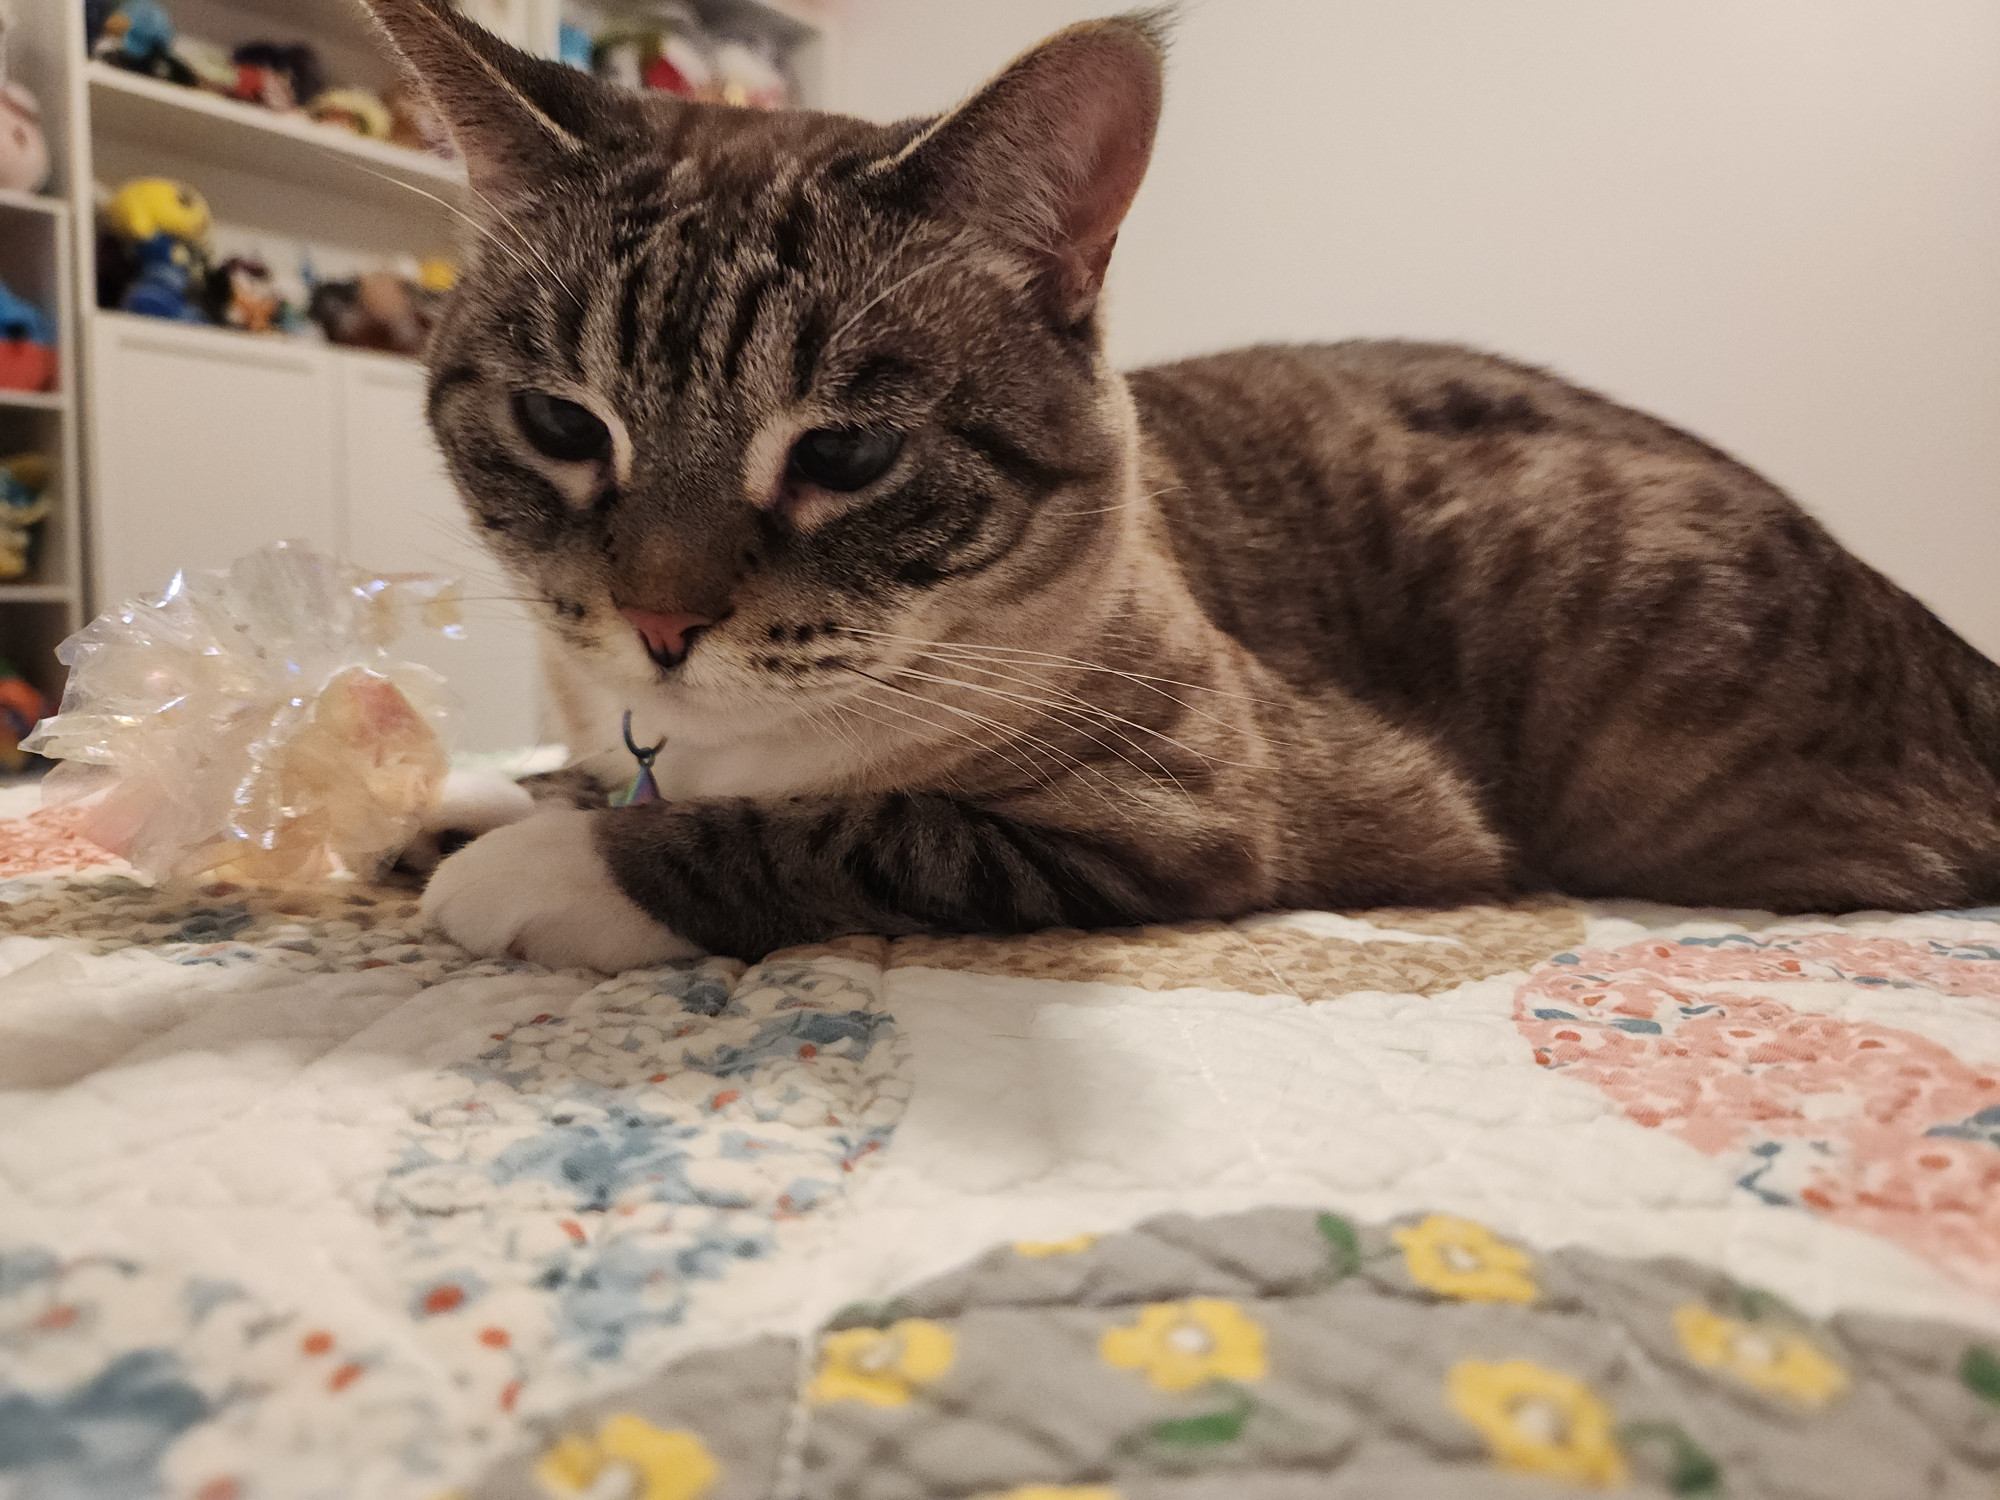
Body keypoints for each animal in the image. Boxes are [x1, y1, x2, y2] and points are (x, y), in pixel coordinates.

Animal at [364, 0, 2000, 968]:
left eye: (844, 454)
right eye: (561, 426)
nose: (657, 626)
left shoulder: (1191, 816)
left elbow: (835, 828)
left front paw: (531, 867)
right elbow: (575, 761)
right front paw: (449, 792)